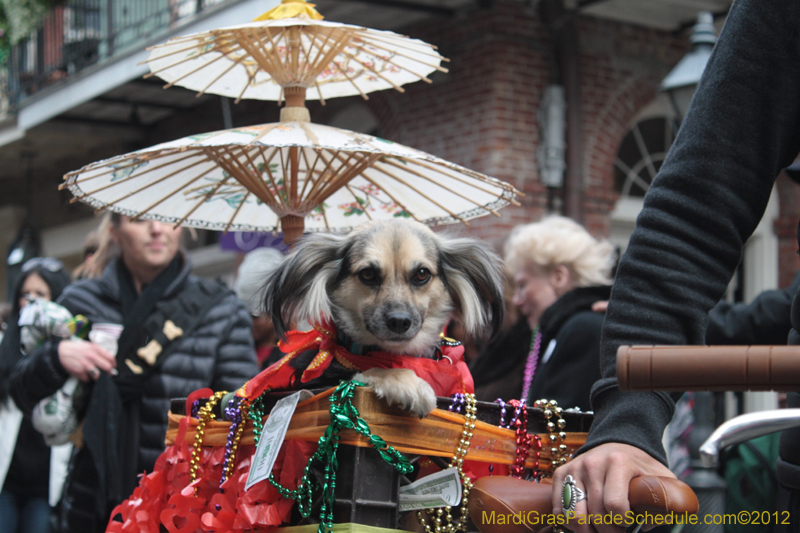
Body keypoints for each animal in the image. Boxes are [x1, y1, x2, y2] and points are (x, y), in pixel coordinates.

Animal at [266, 219, 504, 416]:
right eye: (368, 274)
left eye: (422, 274)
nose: (399, 322)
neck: (395, 355)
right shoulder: (306, 385)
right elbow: (372, 369)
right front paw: (406, 382)